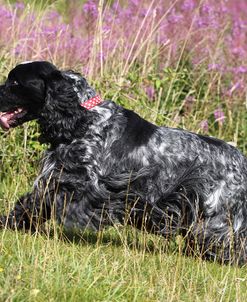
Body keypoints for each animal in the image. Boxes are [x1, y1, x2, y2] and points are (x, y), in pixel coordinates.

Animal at [0, 61, 247, 264]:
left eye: (15, 81)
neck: (84, 118)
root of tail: (243, 162)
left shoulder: (76, 182)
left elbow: (36, 202)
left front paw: (7, 222)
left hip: (217, 213)